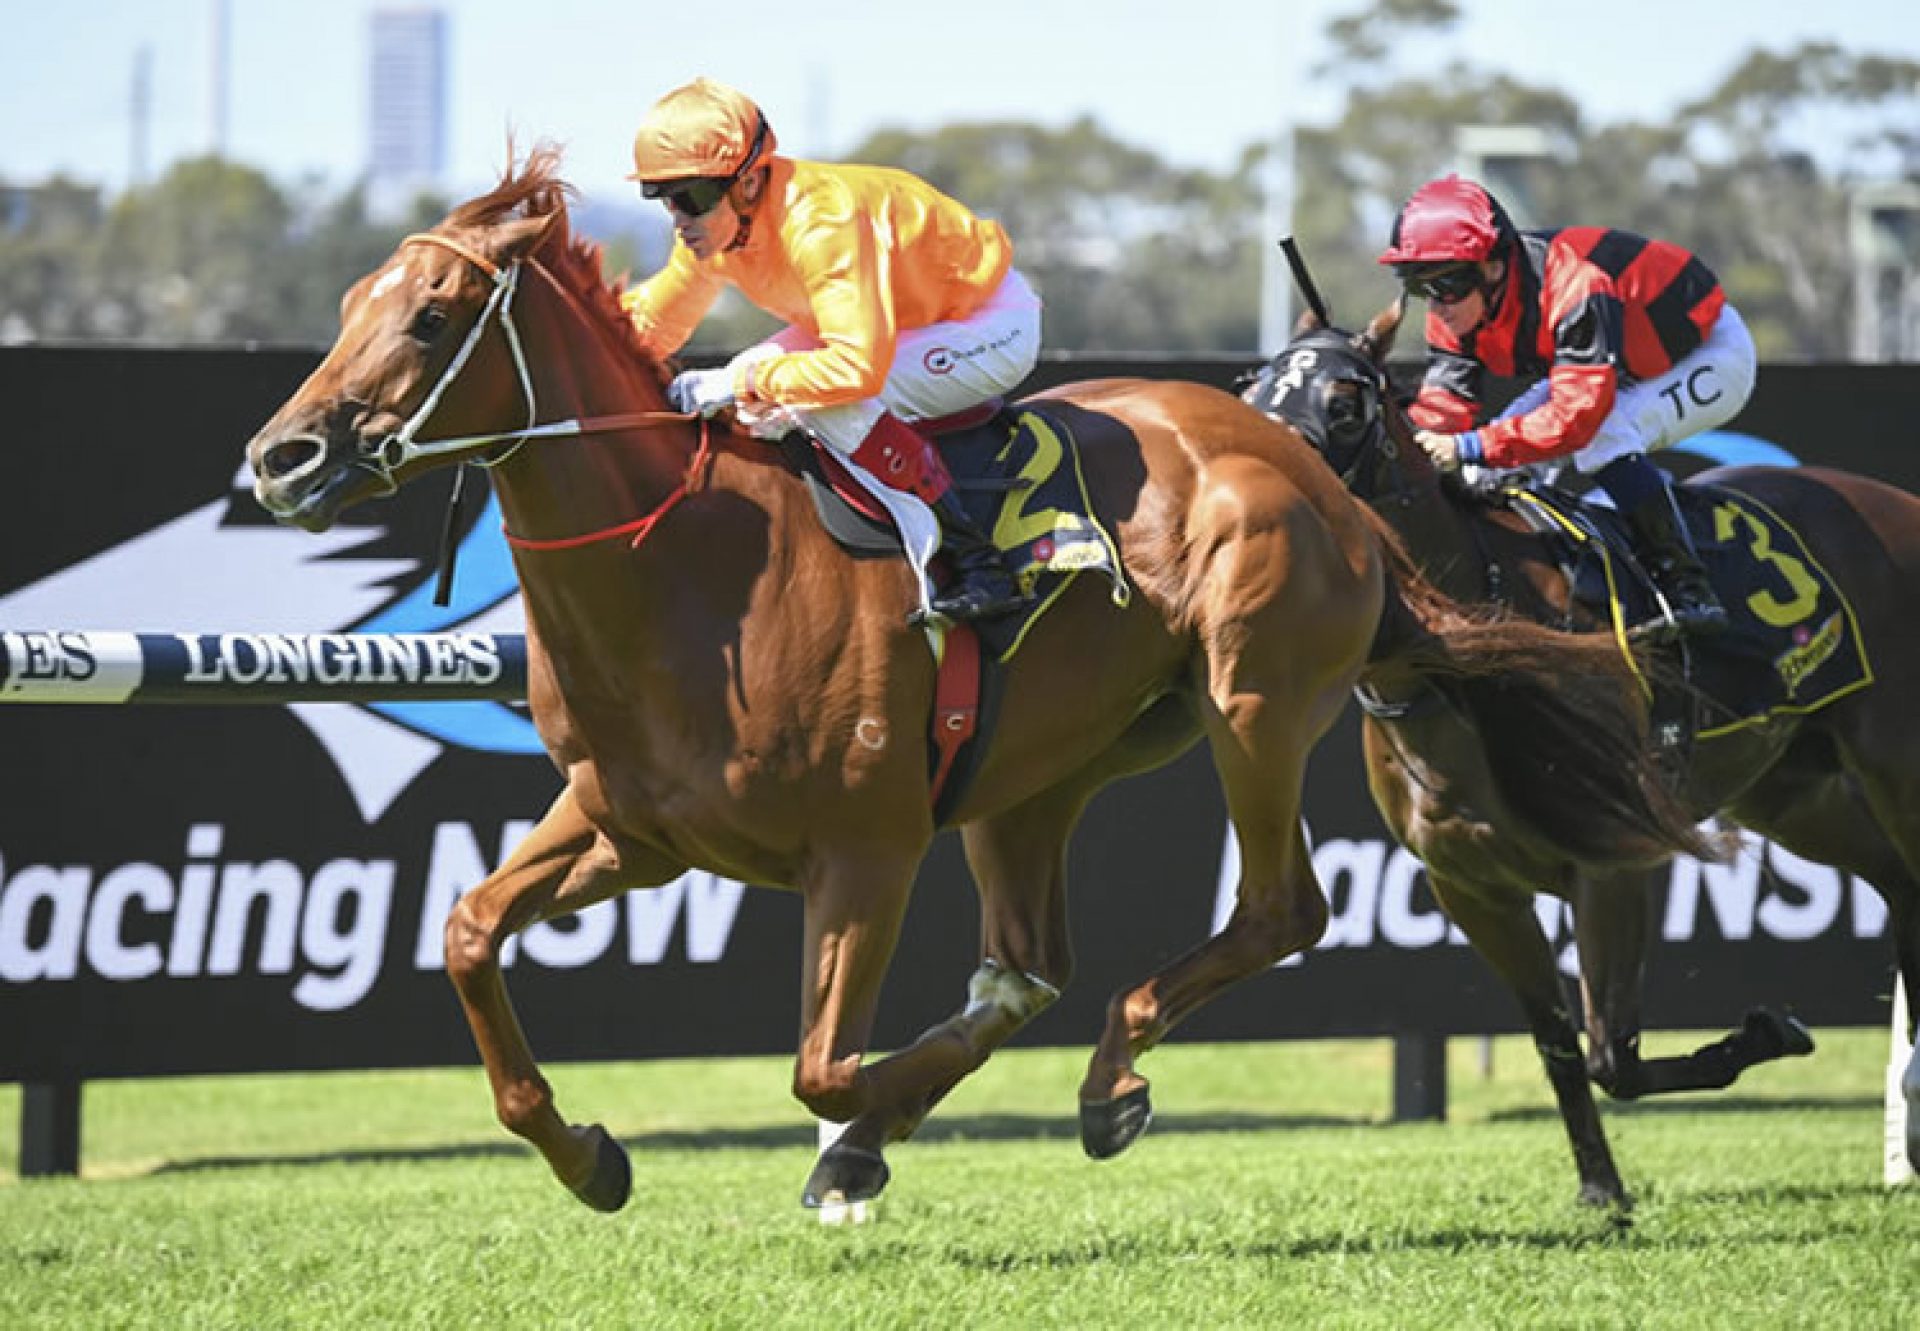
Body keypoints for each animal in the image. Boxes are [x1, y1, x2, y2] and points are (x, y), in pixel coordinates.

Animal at [240, 147, 1697, 1213]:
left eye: (431, 317)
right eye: (349, 308)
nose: (280, 457)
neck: (689, 568)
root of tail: (1312, 468)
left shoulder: (865, 848)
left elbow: (823, 1067)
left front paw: (860, 1141)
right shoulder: (629, 827)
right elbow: (467, 932)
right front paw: (593, 1155)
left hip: (1255, 698)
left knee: (1276, 909)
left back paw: (1107, 1081)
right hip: (1040, 771)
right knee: (1031, 962)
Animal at [1244, 303, 1920, 1213]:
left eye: (1346, 402)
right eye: (1251, 391)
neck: (1456, 663)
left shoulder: (1614, 862)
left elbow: (1615, 1055)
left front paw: (1769, 1029)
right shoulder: (1473, 886)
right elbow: (1564, 1046)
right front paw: (1602, 1187)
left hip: (1893, 757)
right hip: (1793, 794)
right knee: (1900, 883)